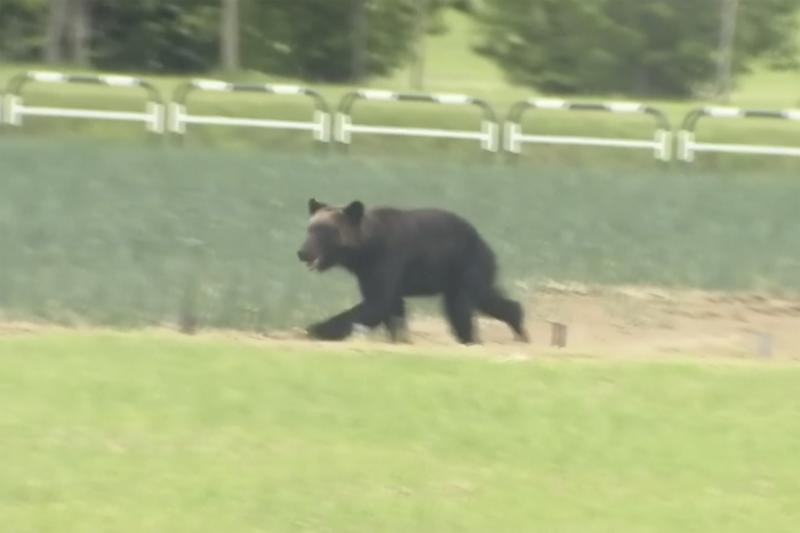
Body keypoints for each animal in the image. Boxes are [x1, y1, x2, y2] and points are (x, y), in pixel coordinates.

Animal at [296, 197, 528, 342]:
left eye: (325, 231)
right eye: (310, 229)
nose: (302, 252)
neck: (364, 251)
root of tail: (485, 242)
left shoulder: (387, 258)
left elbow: (376, 303)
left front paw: (314, 328)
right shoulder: (368, 272)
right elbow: (391, 307)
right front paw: (399, 337)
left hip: (466, 264)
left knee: (462, 307)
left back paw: (475, 337)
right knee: (487, 298)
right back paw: (517, 323)